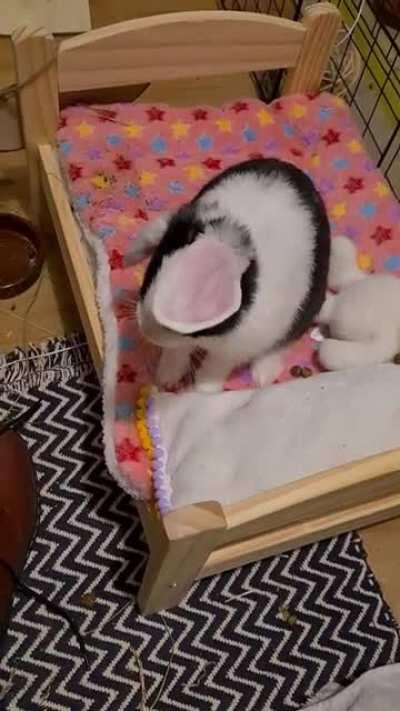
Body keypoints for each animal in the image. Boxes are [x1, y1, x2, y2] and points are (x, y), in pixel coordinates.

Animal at [126, 158, 331, 392]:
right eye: (152, 267)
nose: (147, 331)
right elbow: (177, 351)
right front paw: (166, 377)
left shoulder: (237, 347)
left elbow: (215, 366)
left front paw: (203, 390)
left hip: (305, 311)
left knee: (284, 343)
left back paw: (262, 375)